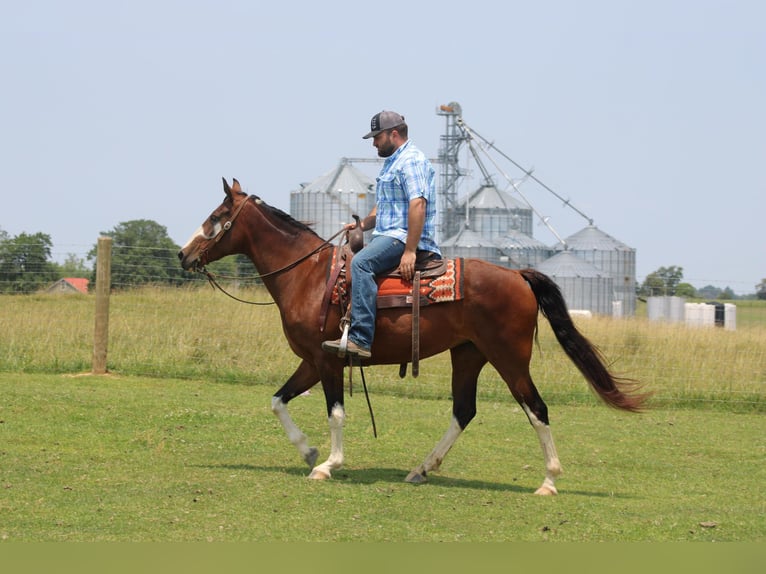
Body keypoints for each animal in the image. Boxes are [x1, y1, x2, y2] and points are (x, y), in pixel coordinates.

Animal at [180, 179, 648, 496]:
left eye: (217, 218)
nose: (184, 255)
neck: (308, 276)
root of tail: (518, 274)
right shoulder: (311, 361)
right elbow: (277, 401)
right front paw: (308, 451)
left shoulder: (328, 361)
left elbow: (336, 414)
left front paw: (327, 463)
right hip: (469, 355)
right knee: (464, 411)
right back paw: (422, 468)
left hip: (509, 358)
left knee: (537, 408)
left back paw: (549, 481)